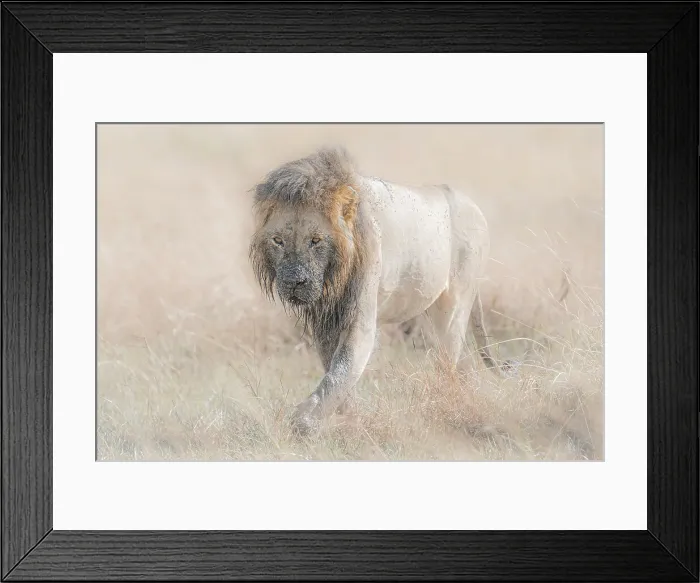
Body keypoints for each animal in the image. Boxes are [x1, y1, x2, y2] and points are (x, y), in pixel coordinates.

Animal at [249, 146, 513, 436]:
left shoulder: (360, 319)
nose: (295, 281)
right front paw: (348, 419)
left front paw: (304, 422)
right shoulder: (326, 321)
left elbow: (340, 372)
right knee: (464, 363)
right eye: (278, 241)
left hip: (453, 306)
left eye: (315, 240)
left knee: (449, 360)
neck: (332, 279)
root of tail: (472, 205)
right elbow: (336, 372)